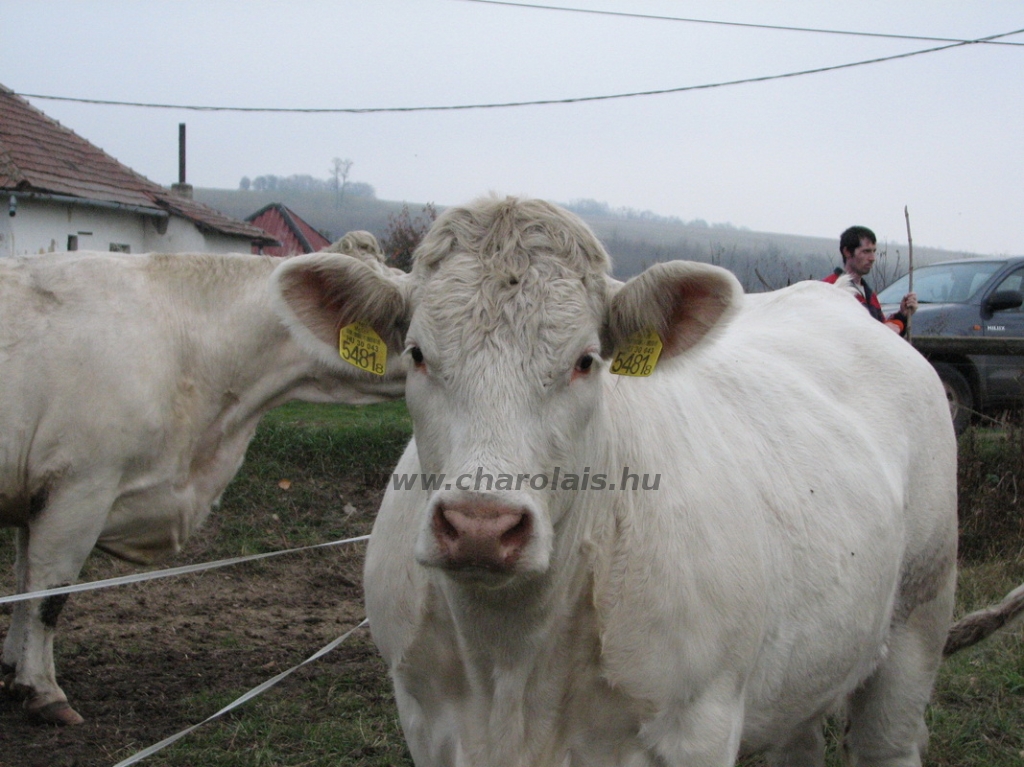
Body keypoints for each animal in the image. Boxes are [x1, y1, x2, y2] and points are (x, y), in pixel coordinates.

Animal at [0, 245, 403, 725]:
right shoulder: (79, 486)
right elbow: (48, 592)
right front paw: (42, 690)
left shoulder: (35, 494)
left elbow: (22, 581)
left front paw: (10, 669)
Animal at [274, 198, 966, 765]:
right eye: (416, 354)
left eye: (586, 361)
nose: (480, 526)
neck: (510, 660)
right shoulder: (426, 719)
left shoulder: (700, 725)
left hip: (919, 617)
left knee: (889, 739)